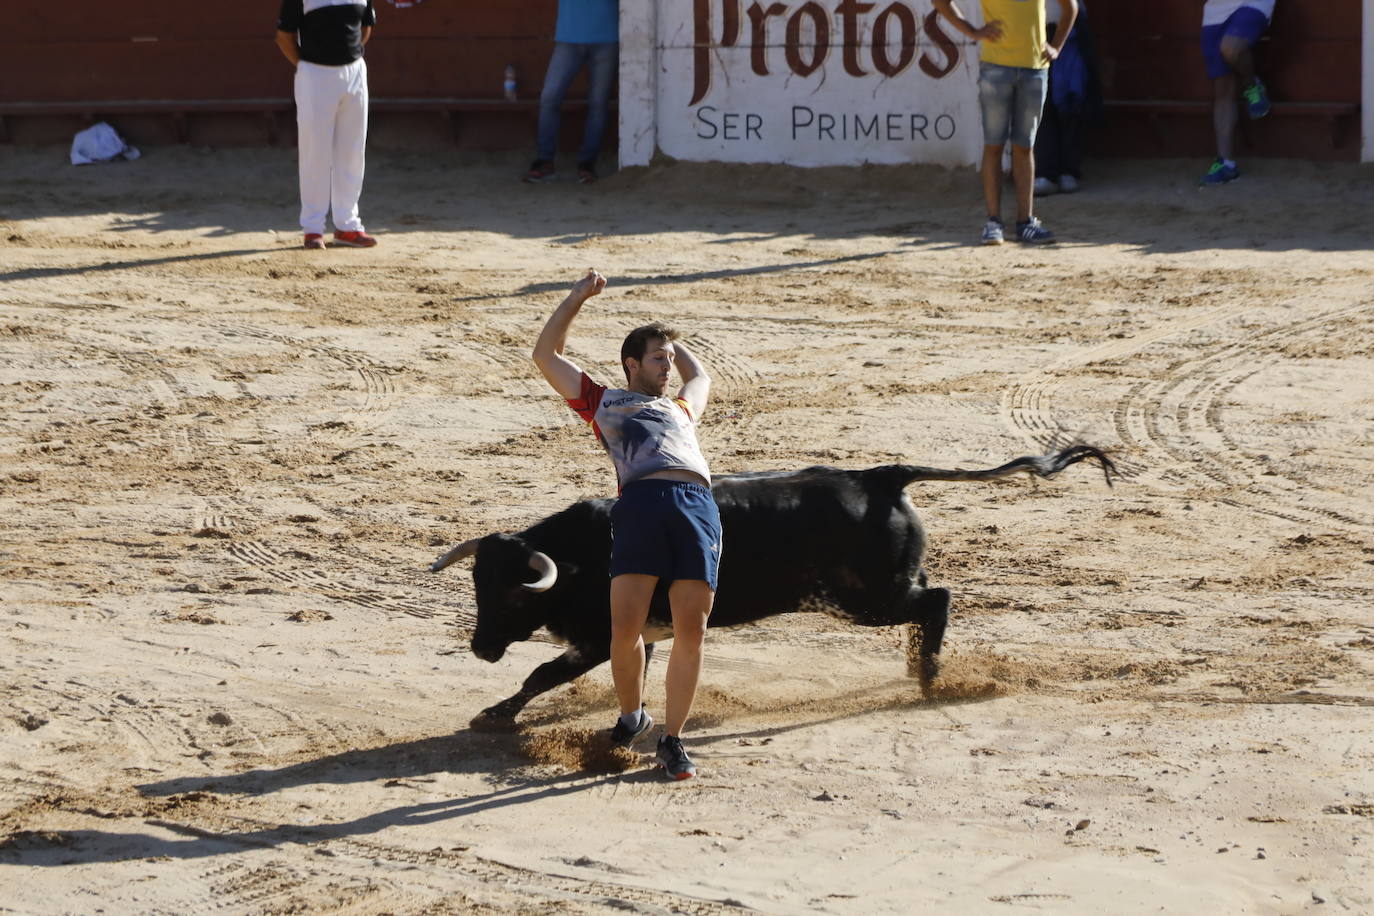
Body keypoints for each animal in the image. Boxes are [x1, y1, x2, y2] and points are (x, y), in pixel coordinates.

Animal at [434, 447, 1110, 725]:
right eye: (476, 585)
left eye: (515, 593)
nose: (480, 648)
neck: (581, 552)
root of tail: (879, 477)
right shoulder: (637, 634)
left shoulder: (599, 638)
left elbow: (540, 674)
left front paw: (492, 715)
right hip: (878, 589)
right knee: (930, 599)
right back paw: (921, 668)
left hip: (862, 600)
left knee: (937, 600)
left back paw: (929, 677)